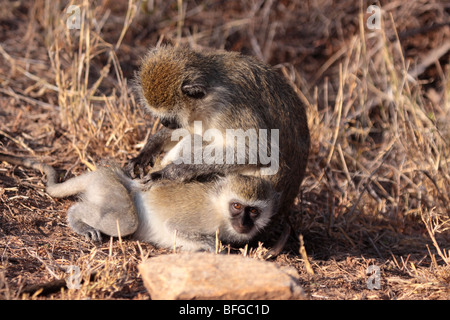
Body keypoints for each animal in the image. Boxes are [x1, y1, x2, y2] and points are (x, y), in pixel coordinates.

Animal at [0, 152, 278, 252]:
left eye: (253, 211)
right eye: (237, 206)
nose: (244, 222)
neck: (220, 208)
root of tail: (107, 173)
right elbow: (175, 229)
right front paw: (214, 248)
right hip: (111, 190)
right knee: (124, 221)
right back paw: (77, 219)